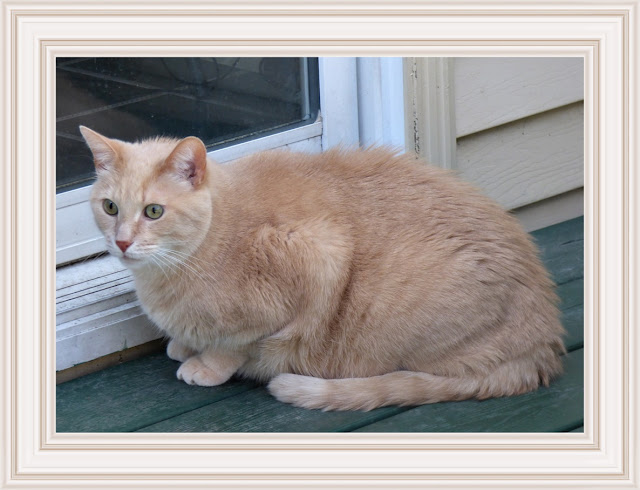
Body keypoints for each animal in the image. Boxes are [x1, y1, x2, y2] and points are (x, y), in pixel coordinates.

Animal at [80, 126, 566, 411]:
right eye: (110, 207)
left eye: (154, 211)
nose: (121, 241)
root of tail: (541, 347)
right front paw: (185, 344)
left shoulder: (317, 259)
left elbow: (234, 343)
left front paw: (206, 364)